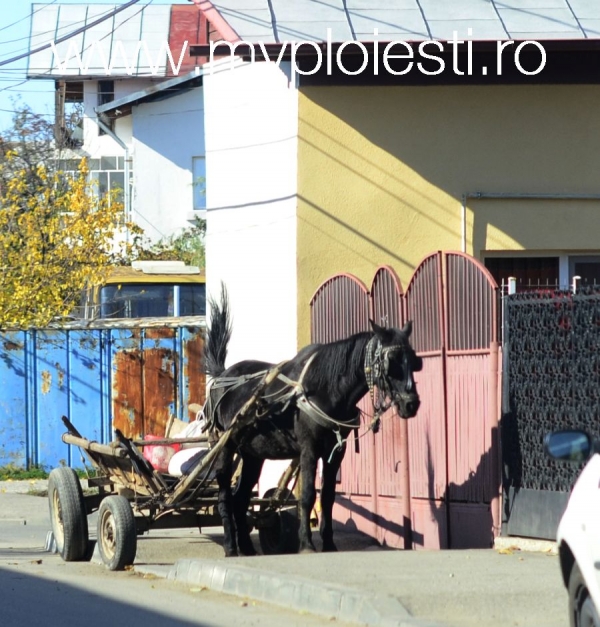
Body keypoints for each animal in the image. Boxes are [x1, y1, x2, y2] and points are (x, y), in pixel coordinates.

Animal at [205, 288, 422, 556]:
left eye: (414, 361)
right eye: (391, 361)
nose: (411, 404)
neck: (326, 388)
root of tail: (222, 376)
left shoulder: (336, 452)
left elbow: (327, 497)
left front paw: (329, 544)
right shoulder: (308, 450)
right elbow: (308, 495)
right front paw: (306, 544)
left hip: (253, 454)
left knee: (241, 498)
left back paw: (246, 547)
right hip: (225, 446)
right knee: (225, 494)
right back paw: (230, 546)